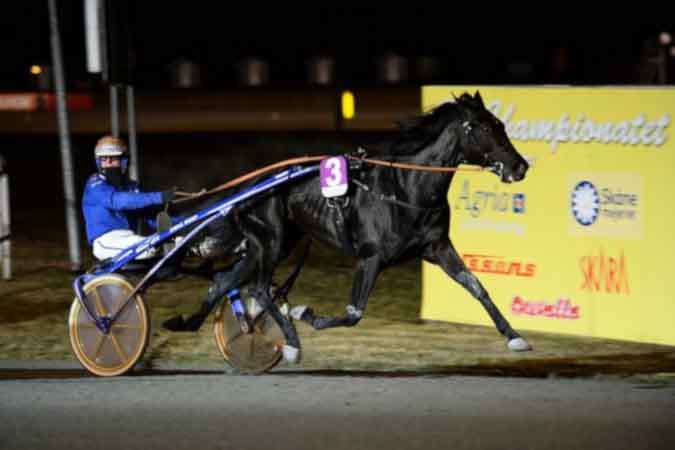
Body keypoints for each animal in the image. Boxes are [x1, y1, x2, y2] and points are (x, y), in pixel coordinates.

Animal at [165, 91, 532, 363]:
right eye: (485, 128)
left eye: (500, 124)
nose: (520, 166)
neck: (405, 188)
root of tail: (251, 184)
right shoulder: (371, 257)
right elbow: (354, 312)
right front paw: (305, 313)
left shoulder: (438, 247)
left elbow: (477, 286)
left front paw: (515, 337)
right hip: (271, 241)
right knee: (259, 289)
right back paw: (291, 342)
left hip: (270, 245)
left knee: (225, 281)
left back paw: (192, 324)